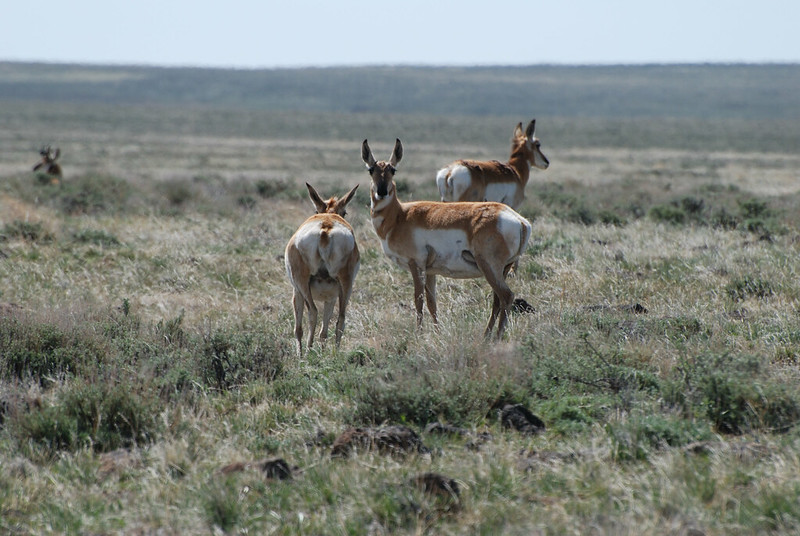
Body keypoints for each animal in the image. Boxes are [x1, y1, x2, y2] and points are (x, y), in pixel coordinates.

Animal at [284, 182, 360, 354]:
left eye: (345, 212)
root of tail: (326, 227)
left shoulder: (296, 292)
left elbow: (298, 329)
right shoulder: (330, 298)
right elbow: (324, 332)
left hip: (303, 285)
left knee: (313, 312)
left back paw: (307, 351)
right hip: (345, 286)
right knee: (341, 319)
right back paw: (335, 354)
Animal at [362, 138, 532, 340]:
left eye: (393, 170)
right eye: (371, 170)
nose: (381, 192)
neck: (400, 215)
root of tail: (520, 220)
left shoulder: (415, 265)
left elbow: (418, 300)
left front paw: (419, 334)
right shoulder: (430, 271)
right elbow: (432, 302)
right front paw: (436, 332)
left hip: (490, 268)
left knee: (506, 296)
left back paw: (496, 338)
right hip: (502, 271)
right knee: (497, 301)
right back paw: (486, 336)